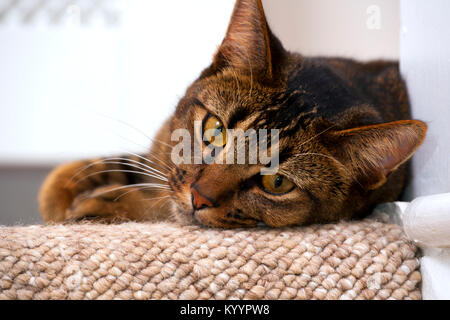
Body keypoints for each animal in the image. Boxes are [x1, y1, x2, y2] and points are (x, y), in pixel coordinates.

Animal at [37, 1, 426, 229]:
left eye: (277, 183)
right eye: (215, 130)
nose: (199, 198)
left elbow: (165, 207)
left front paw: (100, 203)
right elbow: (139, 163)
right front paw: (62, 190)